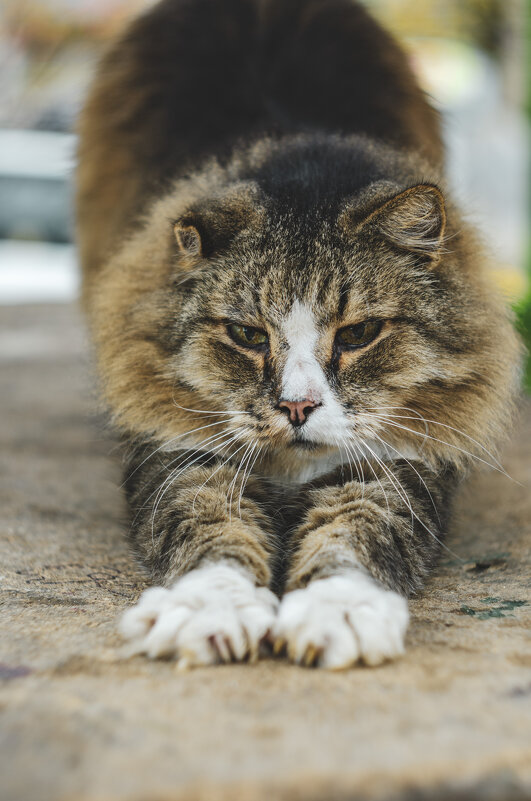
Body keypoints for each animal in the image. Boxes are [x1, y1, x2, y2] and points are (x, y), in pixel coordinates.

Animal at [77, 0, 520, 668]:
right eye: (247, 334)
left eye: (360, 333)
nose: (297, 407)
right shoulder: (181, 455)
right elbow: (210, 533)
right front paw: (211, 613)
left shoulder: (397, 464)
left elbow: (354, 538)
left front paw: (339, 614)